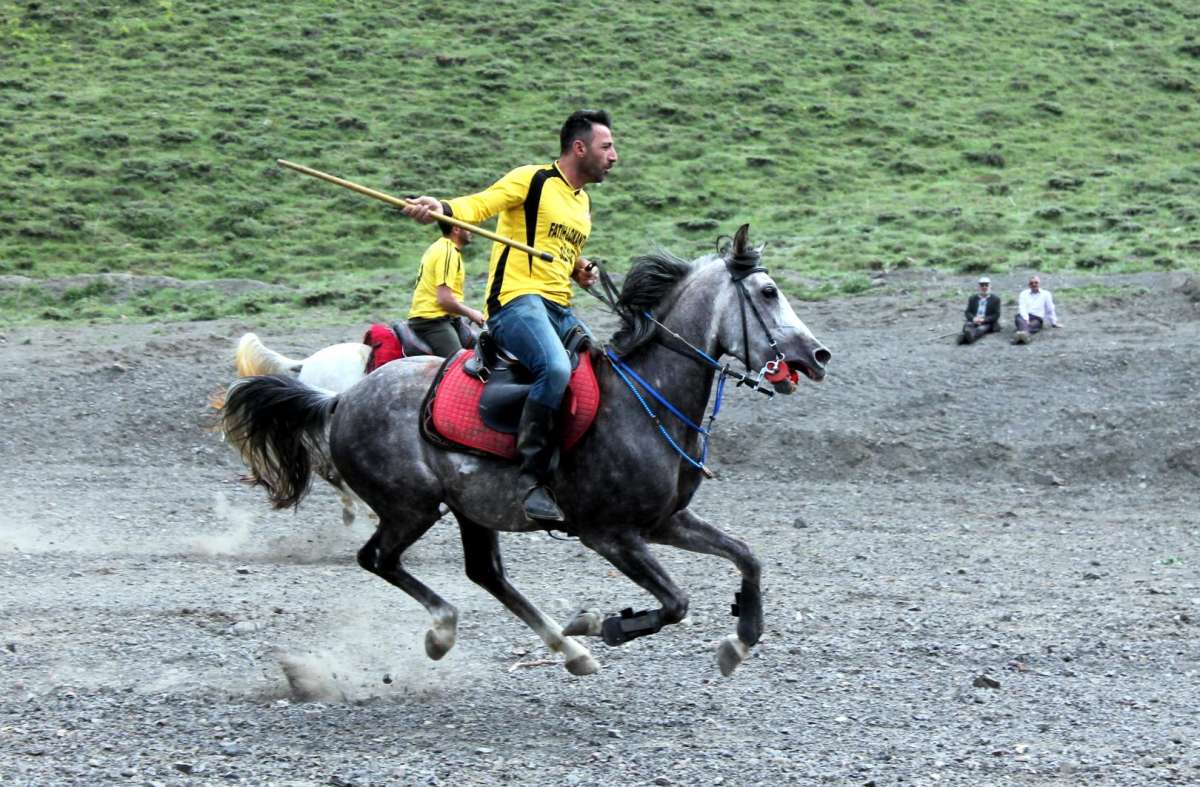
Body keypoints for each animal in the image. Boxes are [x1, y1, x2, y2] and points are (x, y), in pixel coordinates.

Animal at [220, 223, 830, 676]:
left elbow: (747, 556)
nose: (818, 355)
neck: (646, 398)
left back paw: (570, 649)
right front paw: (607, 624)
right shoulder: (609, 534)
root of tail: (343, 397)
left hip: (470, 508)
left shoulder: (664, 521)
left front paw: (740, 638)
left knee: (485, 574)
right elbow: (676, 601)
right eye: (768, 293)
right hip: (412, 507)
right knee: (379, 559)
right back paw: (447, 631)